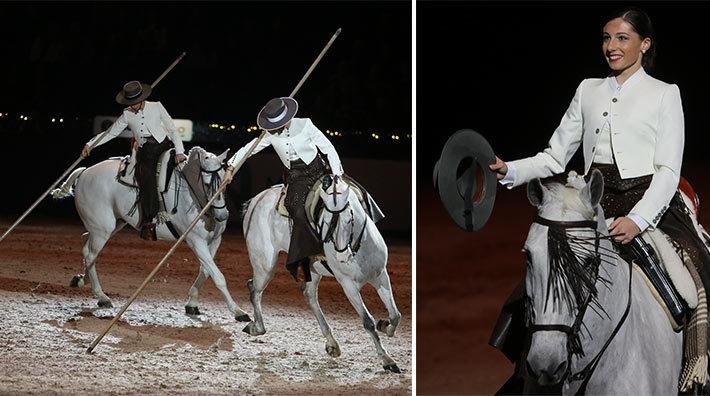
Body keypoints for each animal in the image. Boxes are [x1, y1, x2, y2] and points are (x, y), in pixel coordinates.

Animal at [50, 145, 250, 322]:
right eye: (207, 183)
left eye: (227, 180)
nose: (222, 216)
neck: (193, 195)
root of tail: (85, 172)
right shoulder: (196, 241)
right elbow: (218, 276)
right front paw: (238, 312)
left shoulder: (214, 241)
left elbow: (206, 271)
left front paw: (192, 303)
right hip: (102, 229)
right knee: (91, 254)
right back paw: (102, 296)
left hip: (112, 225)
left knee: (87, 245)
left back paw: (81, 280)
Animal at [242, 175, 404, 372]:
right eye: (324, 223)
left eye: (350, 220)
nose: (342, 256)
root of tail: (256, 200)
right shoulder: (348, 285)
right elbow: (368, 321)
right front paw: (388, 361)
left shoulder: (380, 275)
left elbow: (395, 315)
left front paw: (385, 326)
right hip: (265, 265)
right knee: (254, 289)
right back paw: (256, 327)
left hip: (312, 270)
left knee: (309, 295)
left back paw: (332, 344)